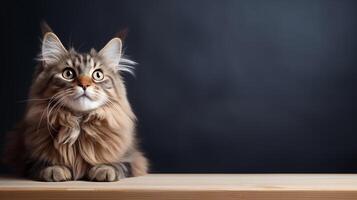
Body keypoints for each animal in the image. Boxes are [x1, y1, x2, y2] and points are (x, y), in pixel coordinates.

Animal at [2, 25, 147, 181]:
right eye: (68, 73)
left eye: (98, 75)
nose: (84, 85)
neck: (78, 123)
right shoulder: (27, 157)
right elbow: (41, 164)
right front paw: (54, 169)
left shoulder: (132, 158)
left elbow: (120, 164)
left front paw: (105, 169)